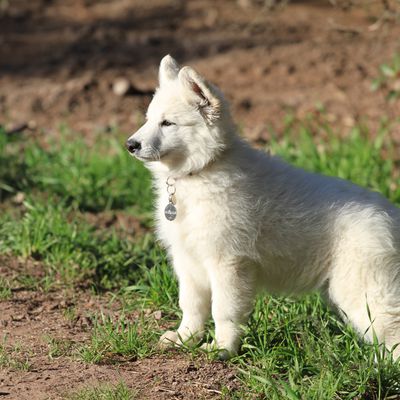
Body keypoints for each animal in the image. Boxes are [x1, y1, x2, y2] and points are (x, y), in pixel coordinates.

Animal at [126, 55, 400, 360]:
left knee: (391, 327)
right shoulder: (188, 261)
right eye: (149, 120)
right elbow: (192, 306)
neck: (200, 171)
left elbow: (223, 310)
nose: (130, 145)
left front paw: (222, 349)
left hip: (364, 287)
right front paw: (185, 339)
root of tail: (392, 215)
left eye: (167, 123)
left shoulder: (228, 263)